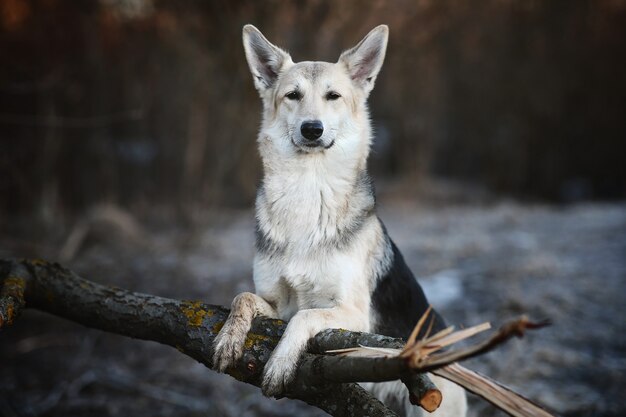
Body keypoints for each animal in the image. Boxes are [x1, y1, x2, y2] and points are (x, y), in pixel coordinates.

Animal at [212, 24, 466, 414]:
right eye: (293, 95)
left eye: (333, 96)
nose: (311, 129)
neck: (309, 191)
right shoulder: (278, 304)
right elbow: (242, 297)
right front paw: (228, 339)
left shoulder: (353, 314)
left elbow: (307, 315)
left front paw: (280, 363)